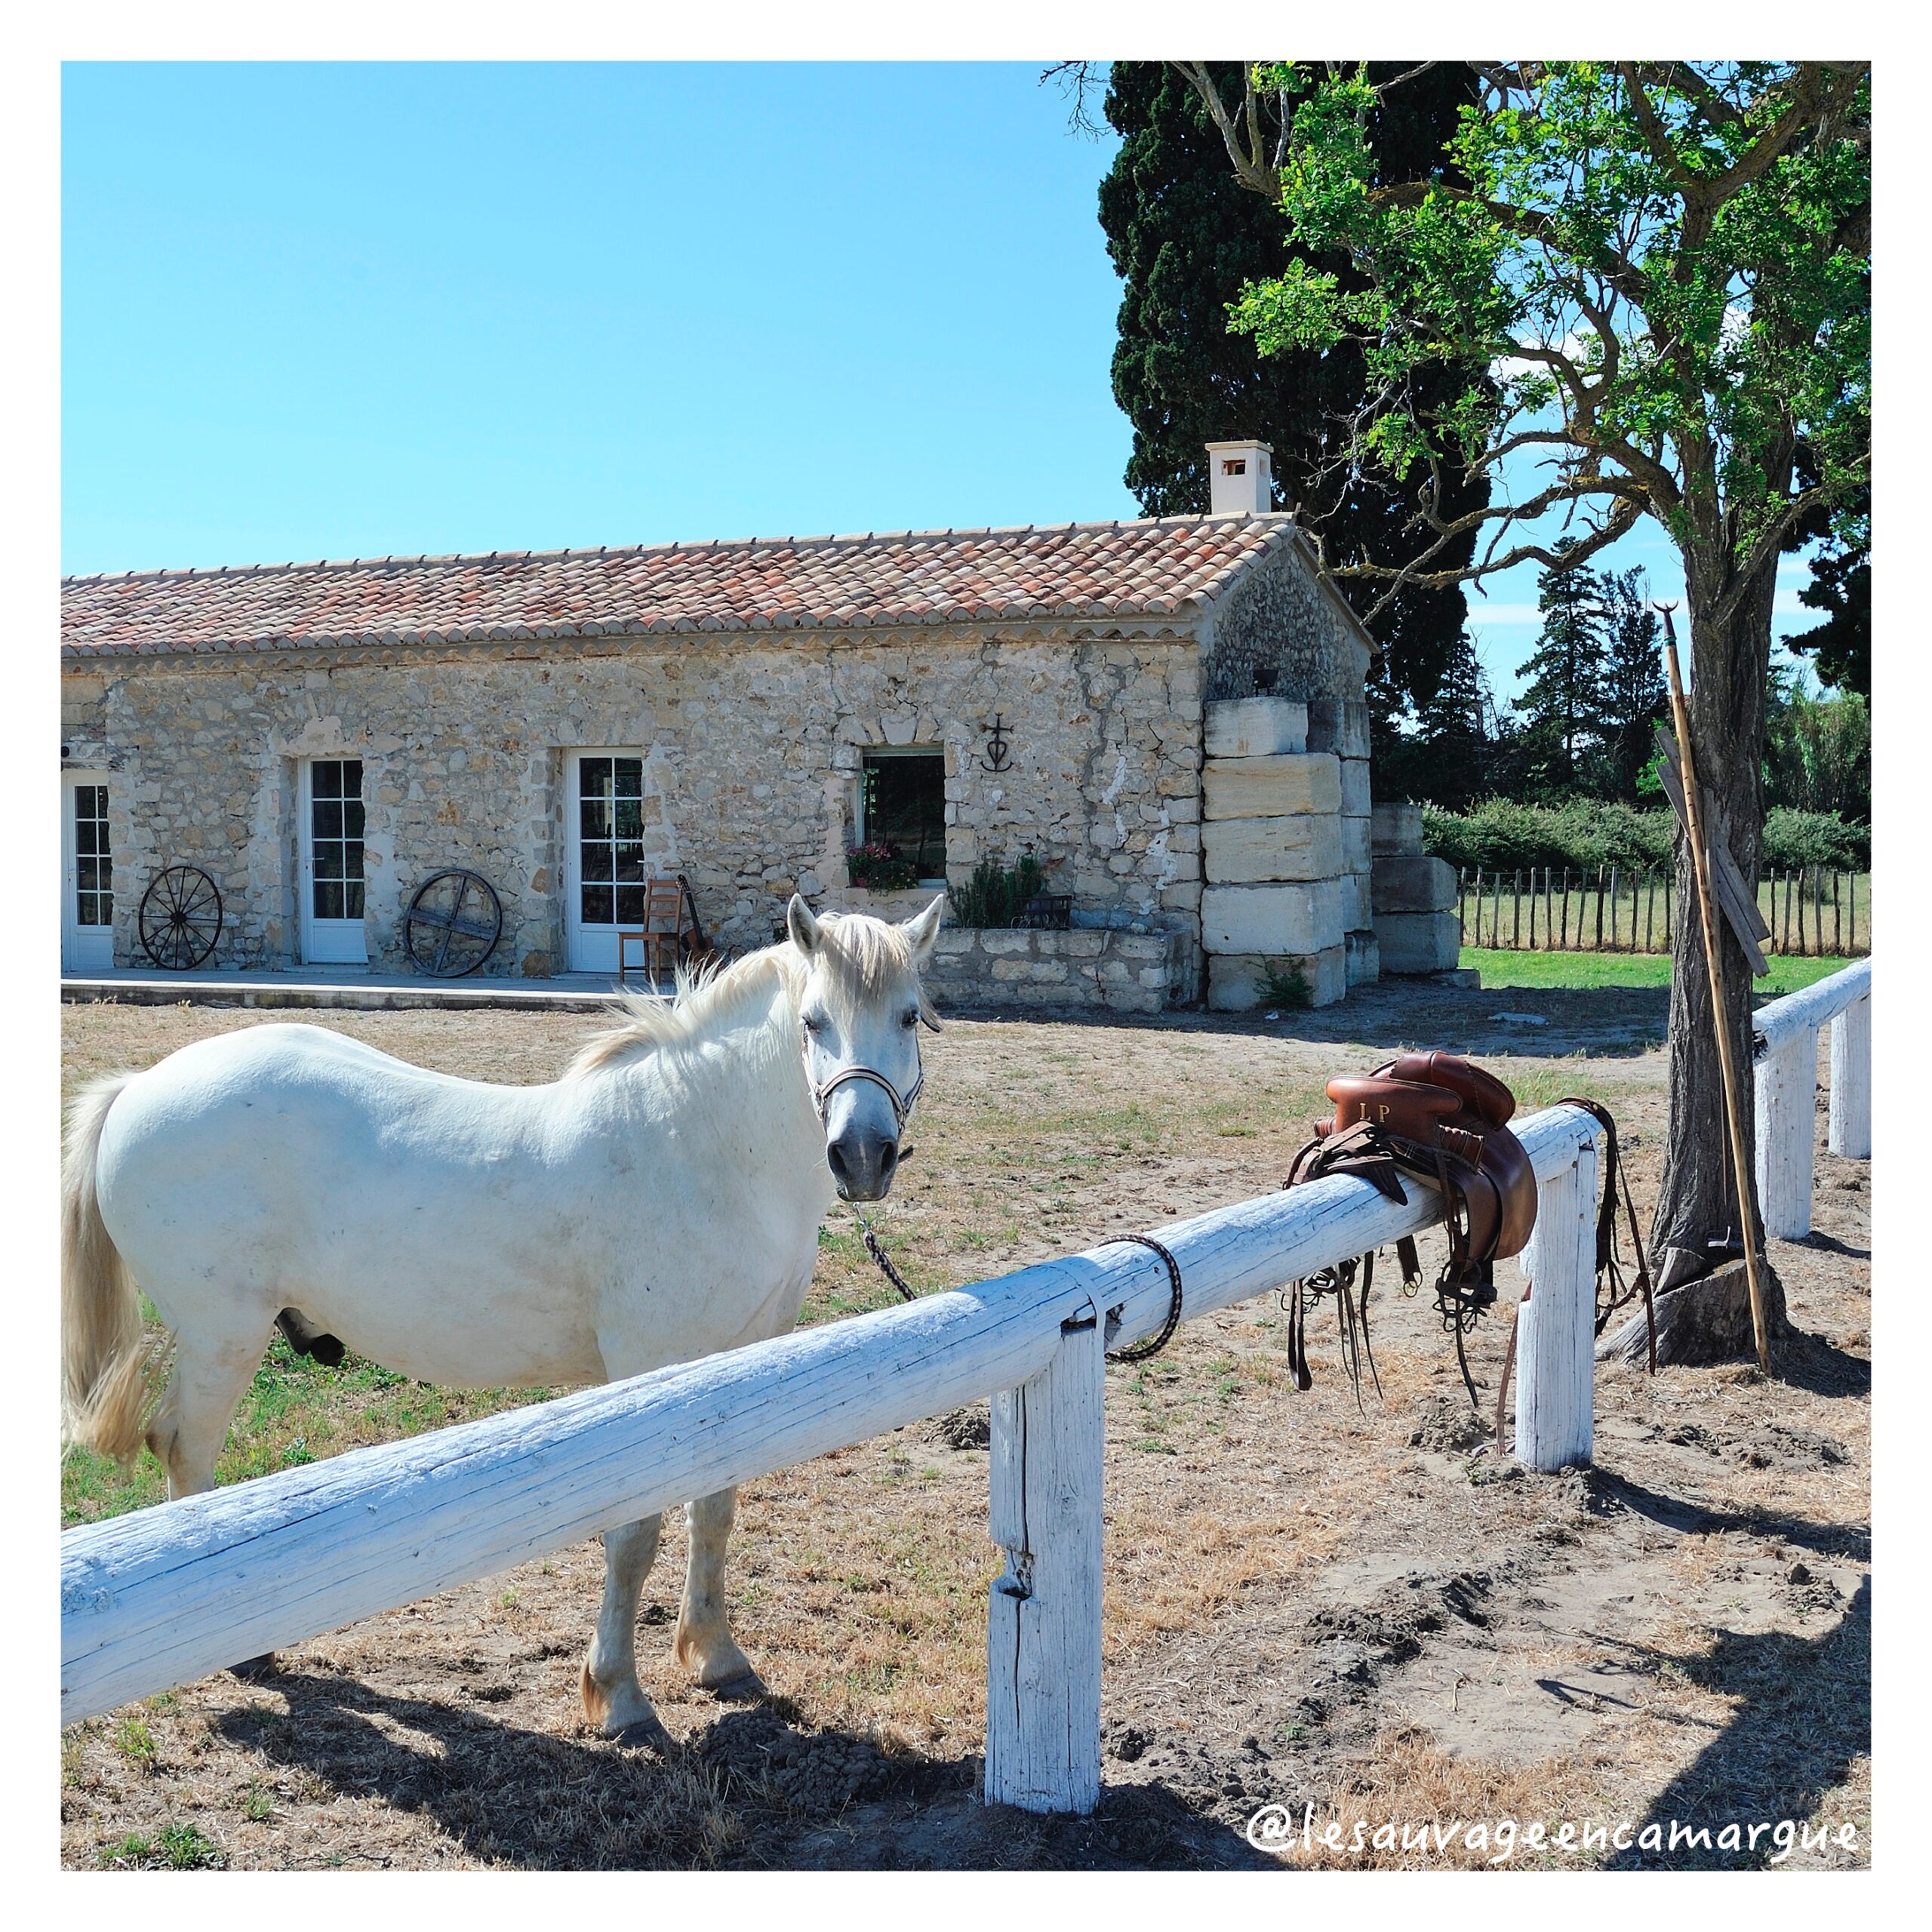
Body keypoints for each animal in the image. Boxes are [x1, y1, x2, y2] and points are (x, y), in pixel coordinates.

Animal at [61, 893, 944, 1741]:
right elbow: (635, 1534)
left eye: (909, 1015)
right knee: (185, 1448)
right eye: (812, 1021)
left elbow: (714, 1510)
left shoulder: (741, 1364)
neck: (701, 1145)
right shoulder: (647, 1370)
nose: (861, 1156)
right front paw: (620, 1699)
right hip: (223, 1338)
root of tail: (138, 1087)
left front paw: (717, 1656)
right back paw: (237, 1648)